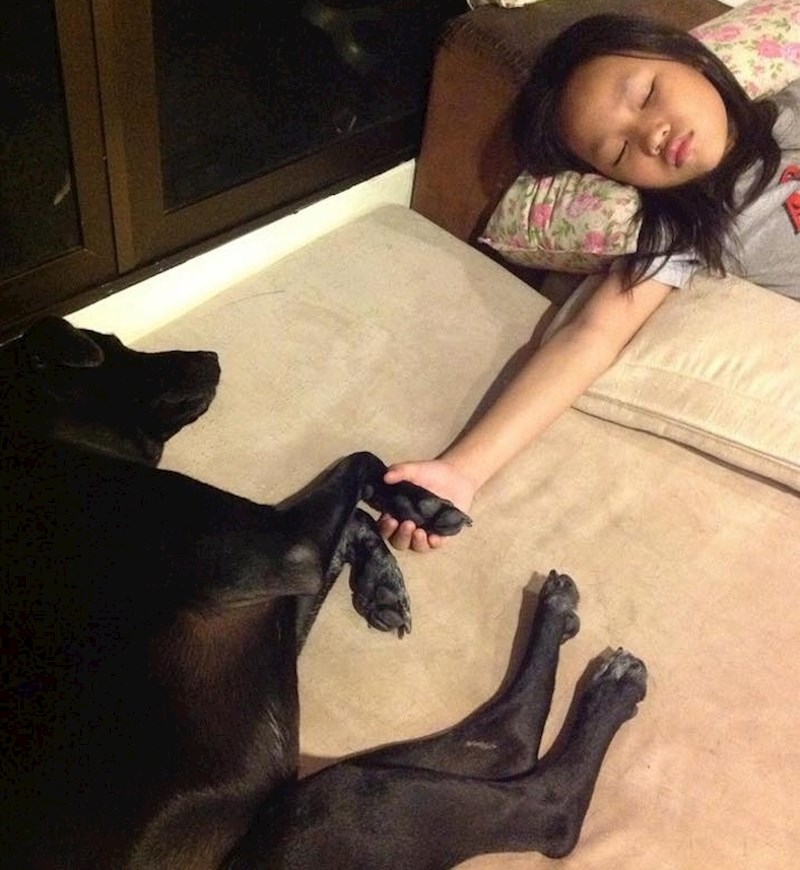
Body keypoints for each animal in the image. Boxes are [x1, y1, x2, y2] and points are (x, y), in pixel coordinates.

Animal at [1, 317, 647, 869]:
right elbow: (359, 462)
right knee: (544, 805)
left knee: (504, 742)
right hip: (346, 802)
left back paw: (563, 622)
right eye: (107, 346)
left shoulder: (277, 594)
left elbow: (353, 511)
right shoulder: (281, 553)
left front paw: (384, 581)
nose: (211, 356)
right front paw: (420, 502)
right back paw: (610, 686)